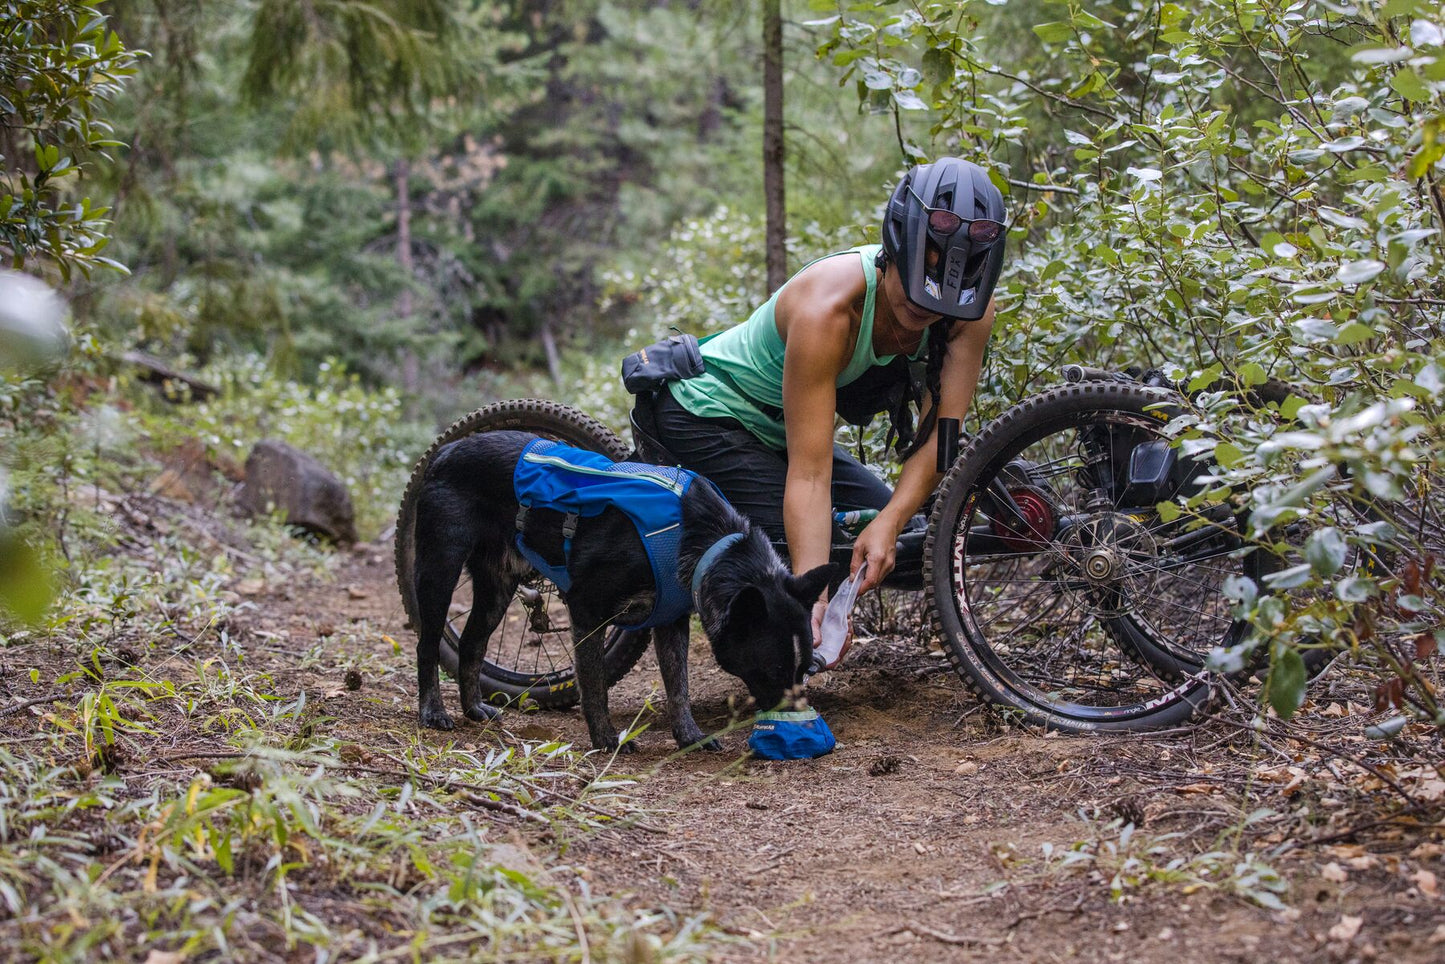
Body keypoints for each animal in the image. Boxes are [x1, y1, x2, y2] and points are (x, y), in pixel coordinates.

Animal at [413, 430, 832, 751]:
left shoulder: (671, 623)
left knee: (471, 644)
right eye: (774, 669)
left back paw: (473, 709)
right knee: (427, 644)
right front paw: (605, 740)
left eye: (805, 669)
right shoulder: (586, 611)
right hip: (439, 570)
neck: (705, 540)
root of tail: (445, 452)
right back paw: (434, 711)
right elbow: (595, 685)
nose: (802, 723)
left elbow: (678, 687)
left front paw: (689, 737)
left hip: (497, 590)